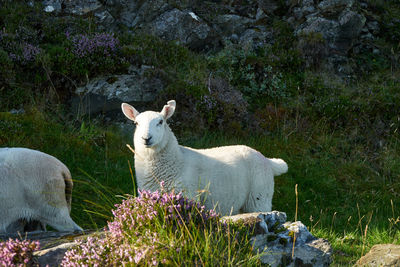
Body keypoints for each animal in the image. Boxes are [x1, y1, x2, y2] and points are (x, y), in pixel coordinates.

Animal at [121, 100, 288, 216]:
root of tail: (268, 160)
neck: (176, 161)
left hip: (259, 196)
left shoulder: (188, 195)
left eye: (161, 122)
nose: (146, 138)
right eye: (136, 123)